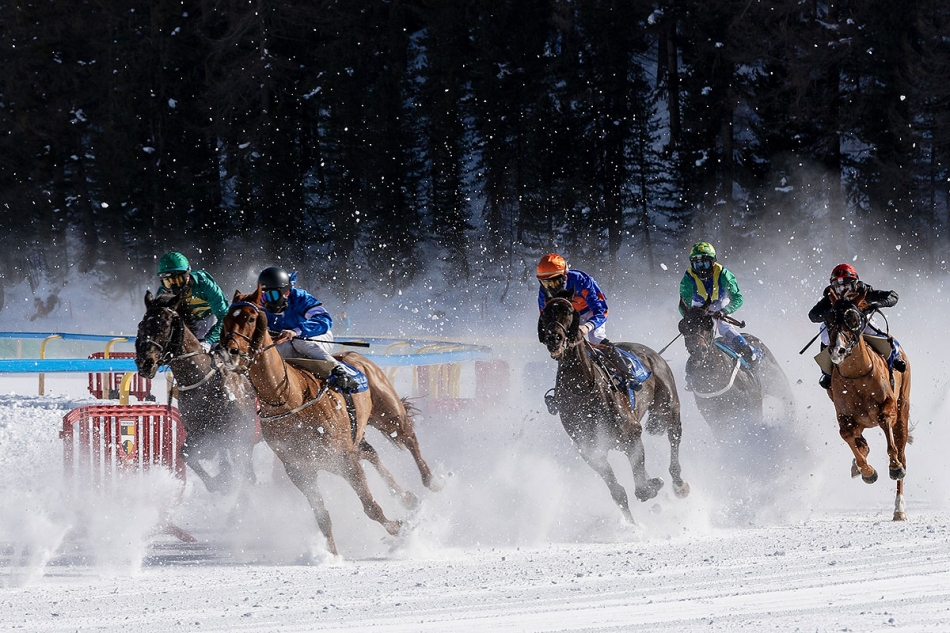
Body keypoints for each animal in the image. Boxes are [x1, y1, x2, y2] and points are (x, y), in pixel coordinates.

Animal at [135, 292, 260, 494]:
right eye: (141, 325)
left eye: (165, 325)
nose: (145, 363)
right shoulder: (200, 432)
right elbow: (186, 453)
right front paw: (219, 482)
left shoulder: (240, 435)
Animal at [221, 286, 440, 552]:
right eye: (226, 319)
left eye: (251, 318)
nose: (229, 352)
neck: (289, 398)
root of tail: (355, 355)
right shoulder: (299, 470)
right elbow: (322, 516)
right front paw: (332, 554)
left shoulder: (345, 459)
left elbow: (370, 507)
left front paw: (400, 528)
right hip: (356, 436)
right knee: (372, 454)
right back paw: (406, 497)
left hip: (389, 413)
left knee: (409, 439)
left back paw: (432, 481)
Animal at [540, 296, 688, 524]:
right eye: (545, 312)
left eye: (568, 311)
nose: (553, 337)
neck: (584, 391)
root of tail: (654, 354)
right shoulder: (592, 453)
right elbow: (618, 493)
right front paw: (634, 527)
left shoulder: (632, 436)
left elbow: (641, 489)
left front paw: (654, 485)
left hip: (669, 406)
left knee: (674, 436)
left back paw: (679, 483)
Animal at [676, 302, 796, 432]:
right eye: (683, 326)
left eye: (707, 323)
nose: (698, 349)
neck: (715, 379)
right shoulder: (715, 420)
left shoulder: (754, 405)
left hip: (778, 381)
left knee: (789, 401)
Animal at [824, 292, 916, 520]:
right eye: (829, 320)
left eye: (853, 318)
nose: (837, 350)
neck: (857, 376)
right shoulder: (846, 416)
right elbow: (847, 435)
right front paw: (866, 470)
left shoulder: (888, 406)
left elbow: (887, 429)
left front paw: (894, 467)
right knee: (861, 441)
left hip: (903, 407)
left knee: (902, 452)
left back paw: (899, 508)